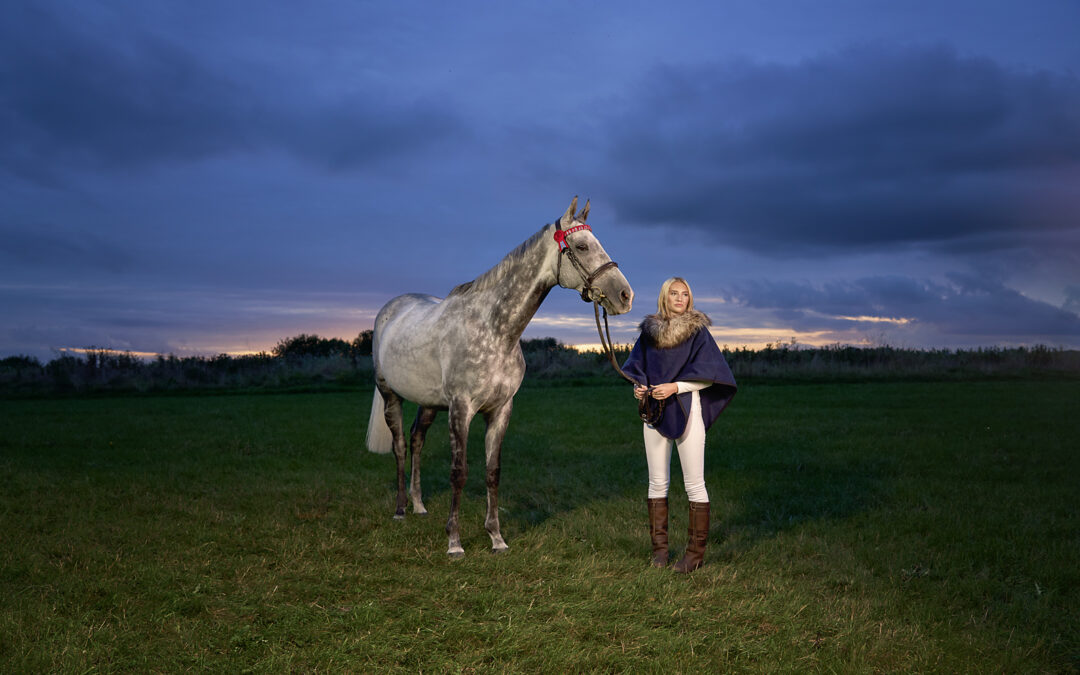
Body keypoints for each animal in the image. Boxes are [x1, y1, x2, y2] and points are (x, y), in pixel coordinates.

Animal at [365, 197, 634, 557]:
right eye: (581, 246)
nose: (625, 295)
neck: (495, 330)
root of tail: (391, 310)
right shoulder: (461, 409)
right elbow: (459, 472)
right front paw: (454, 542)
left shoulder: (501, 409)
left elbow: (493, 472)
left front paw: (496, 537)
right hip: (390, 395)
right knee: (399, 447)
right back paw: (400, 510)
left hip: (429, 403)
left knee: (416, 439)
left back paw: (419, 505)